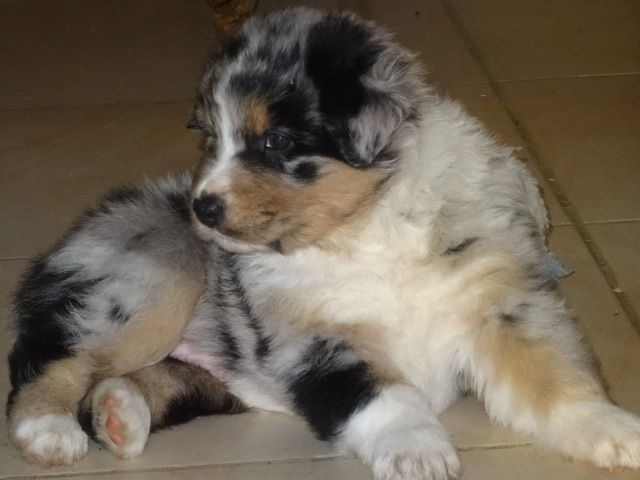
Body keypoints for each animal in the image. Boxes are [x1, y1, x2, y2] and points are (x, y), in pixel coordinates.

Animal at [7, 8, 640, 479]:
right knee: (54, 355)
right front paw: (418, 452)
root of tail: (74, 235)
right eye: (211, 139)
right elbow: (382, 394)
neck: (367, 228)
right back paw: (49, 431)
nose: (201, 208)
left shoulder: (502, 302)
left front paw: (610, 429)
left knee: (156, 378)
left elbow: (552, 373)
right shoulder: (312, 339)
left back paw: (120, 416)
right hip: (153, 282)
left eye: (276, 141)